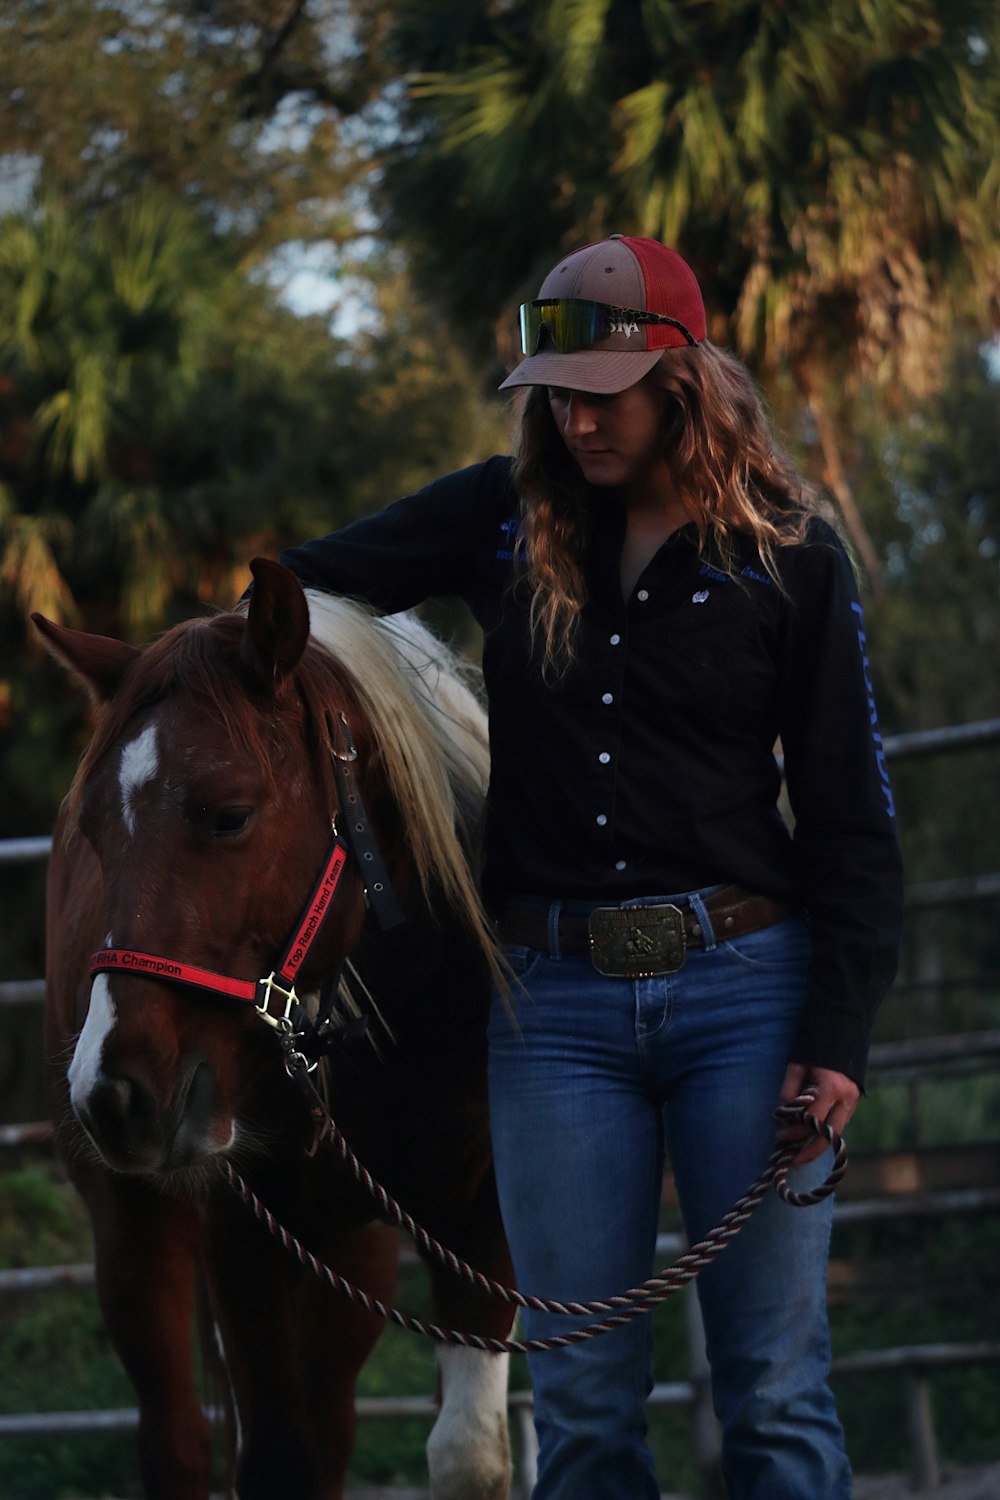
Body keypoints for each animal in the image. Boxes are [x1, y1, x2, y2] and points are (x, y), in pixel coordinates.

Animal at [34, 564, 515, 1500]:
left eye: (228, 815)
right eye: (93, 831)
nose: (114, 1094)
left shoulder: (483, 1222)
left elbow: (469, 1455)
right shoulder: (241, 1234)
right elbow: (276, 1460)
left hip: (354, 1256)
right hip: (133, 1230)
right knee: (177, 1443)